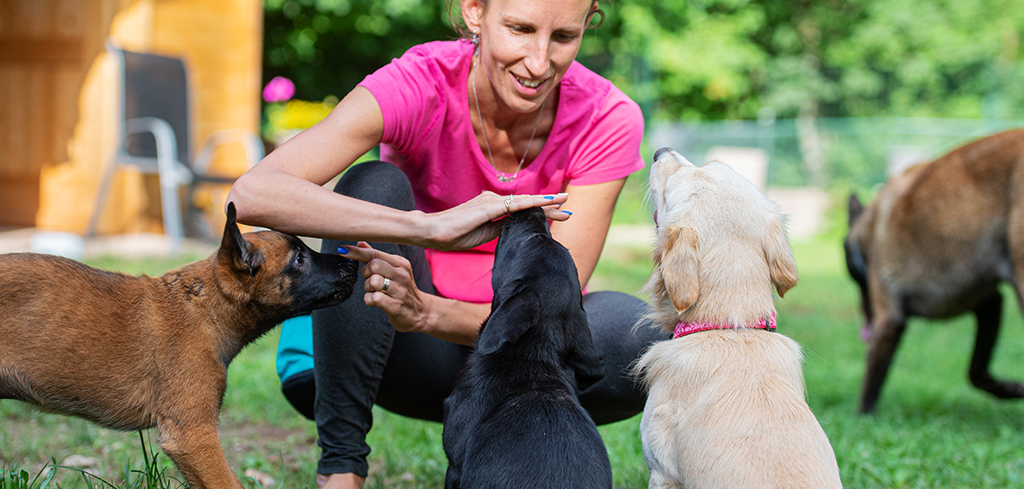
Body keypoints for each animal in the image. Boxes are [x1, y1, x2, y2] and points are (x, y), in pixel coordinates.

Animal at [843, 128, 1024, 413]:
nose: (865, 321)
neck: (868, 229)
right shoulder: (989, 303)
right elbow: (975, 372)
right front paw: (1008, 390)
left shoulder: (888, 321)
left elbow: (870, 383)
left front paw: (860, 418)